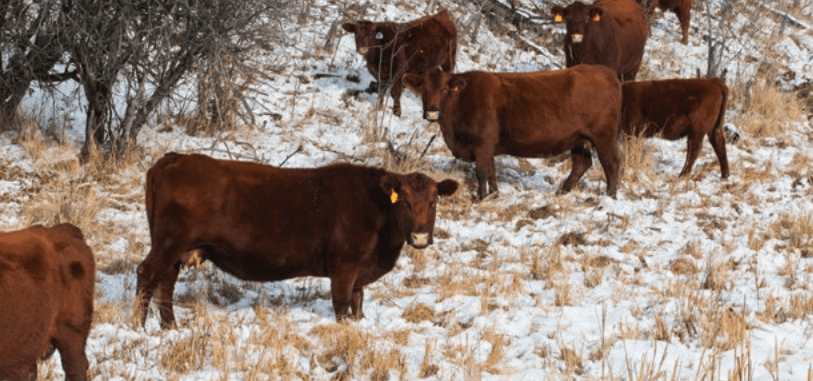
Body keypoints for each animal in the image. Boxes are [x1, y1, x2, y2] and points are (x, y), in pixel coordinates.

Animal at [136, 153, 460, 326]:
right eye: (404, 201)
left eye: (434, 202)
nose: (420, 236)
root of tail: (174, 158)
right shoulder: (344, 266)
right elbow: (341, 304)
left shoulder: (359, 272)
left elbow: (358, 303)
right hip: (169, 244)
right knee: (147, 274)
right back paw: (139, 326)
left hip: (176, 249)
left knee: (166, 282)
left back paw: (170, 327)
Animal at [404, 64, 620, 199]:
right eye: (423, 88)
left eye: (444, 89)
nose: (432, 112)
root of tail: (608, 72)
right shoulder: (487, 147)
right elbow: (491, 171)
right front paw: (493, 194)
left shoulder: (482, 143)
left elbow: (481, 172)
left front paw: (481, 197)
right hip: (579, 139)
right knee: (581, 164)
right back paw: (562, 192)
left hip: (604, 136)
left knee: (611, 164)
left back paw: (610, 196)